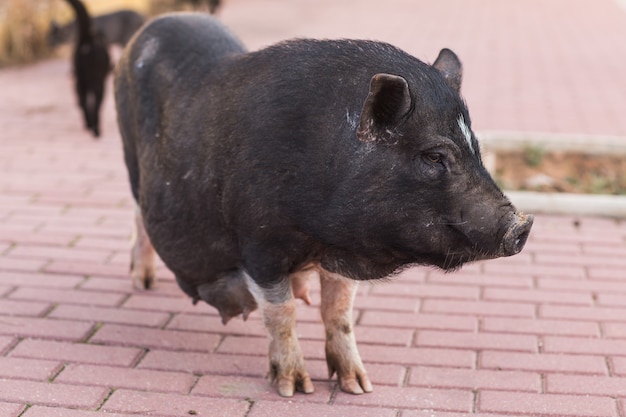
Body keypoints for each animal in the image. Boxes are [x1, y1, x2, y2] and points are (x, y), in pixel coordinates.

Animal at [113, 12, 532, 396]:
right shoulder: (259, 244)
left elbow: (339, 311)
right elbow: (281, 312)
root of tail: (148, 28)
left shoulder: (344, 252)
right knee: (137, 215)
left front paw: (359, 386)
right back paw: (143, 282)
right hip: (131, 159)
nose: (522, 225)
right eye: (434, 156)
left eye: (475, 148)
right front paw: (295, 388)